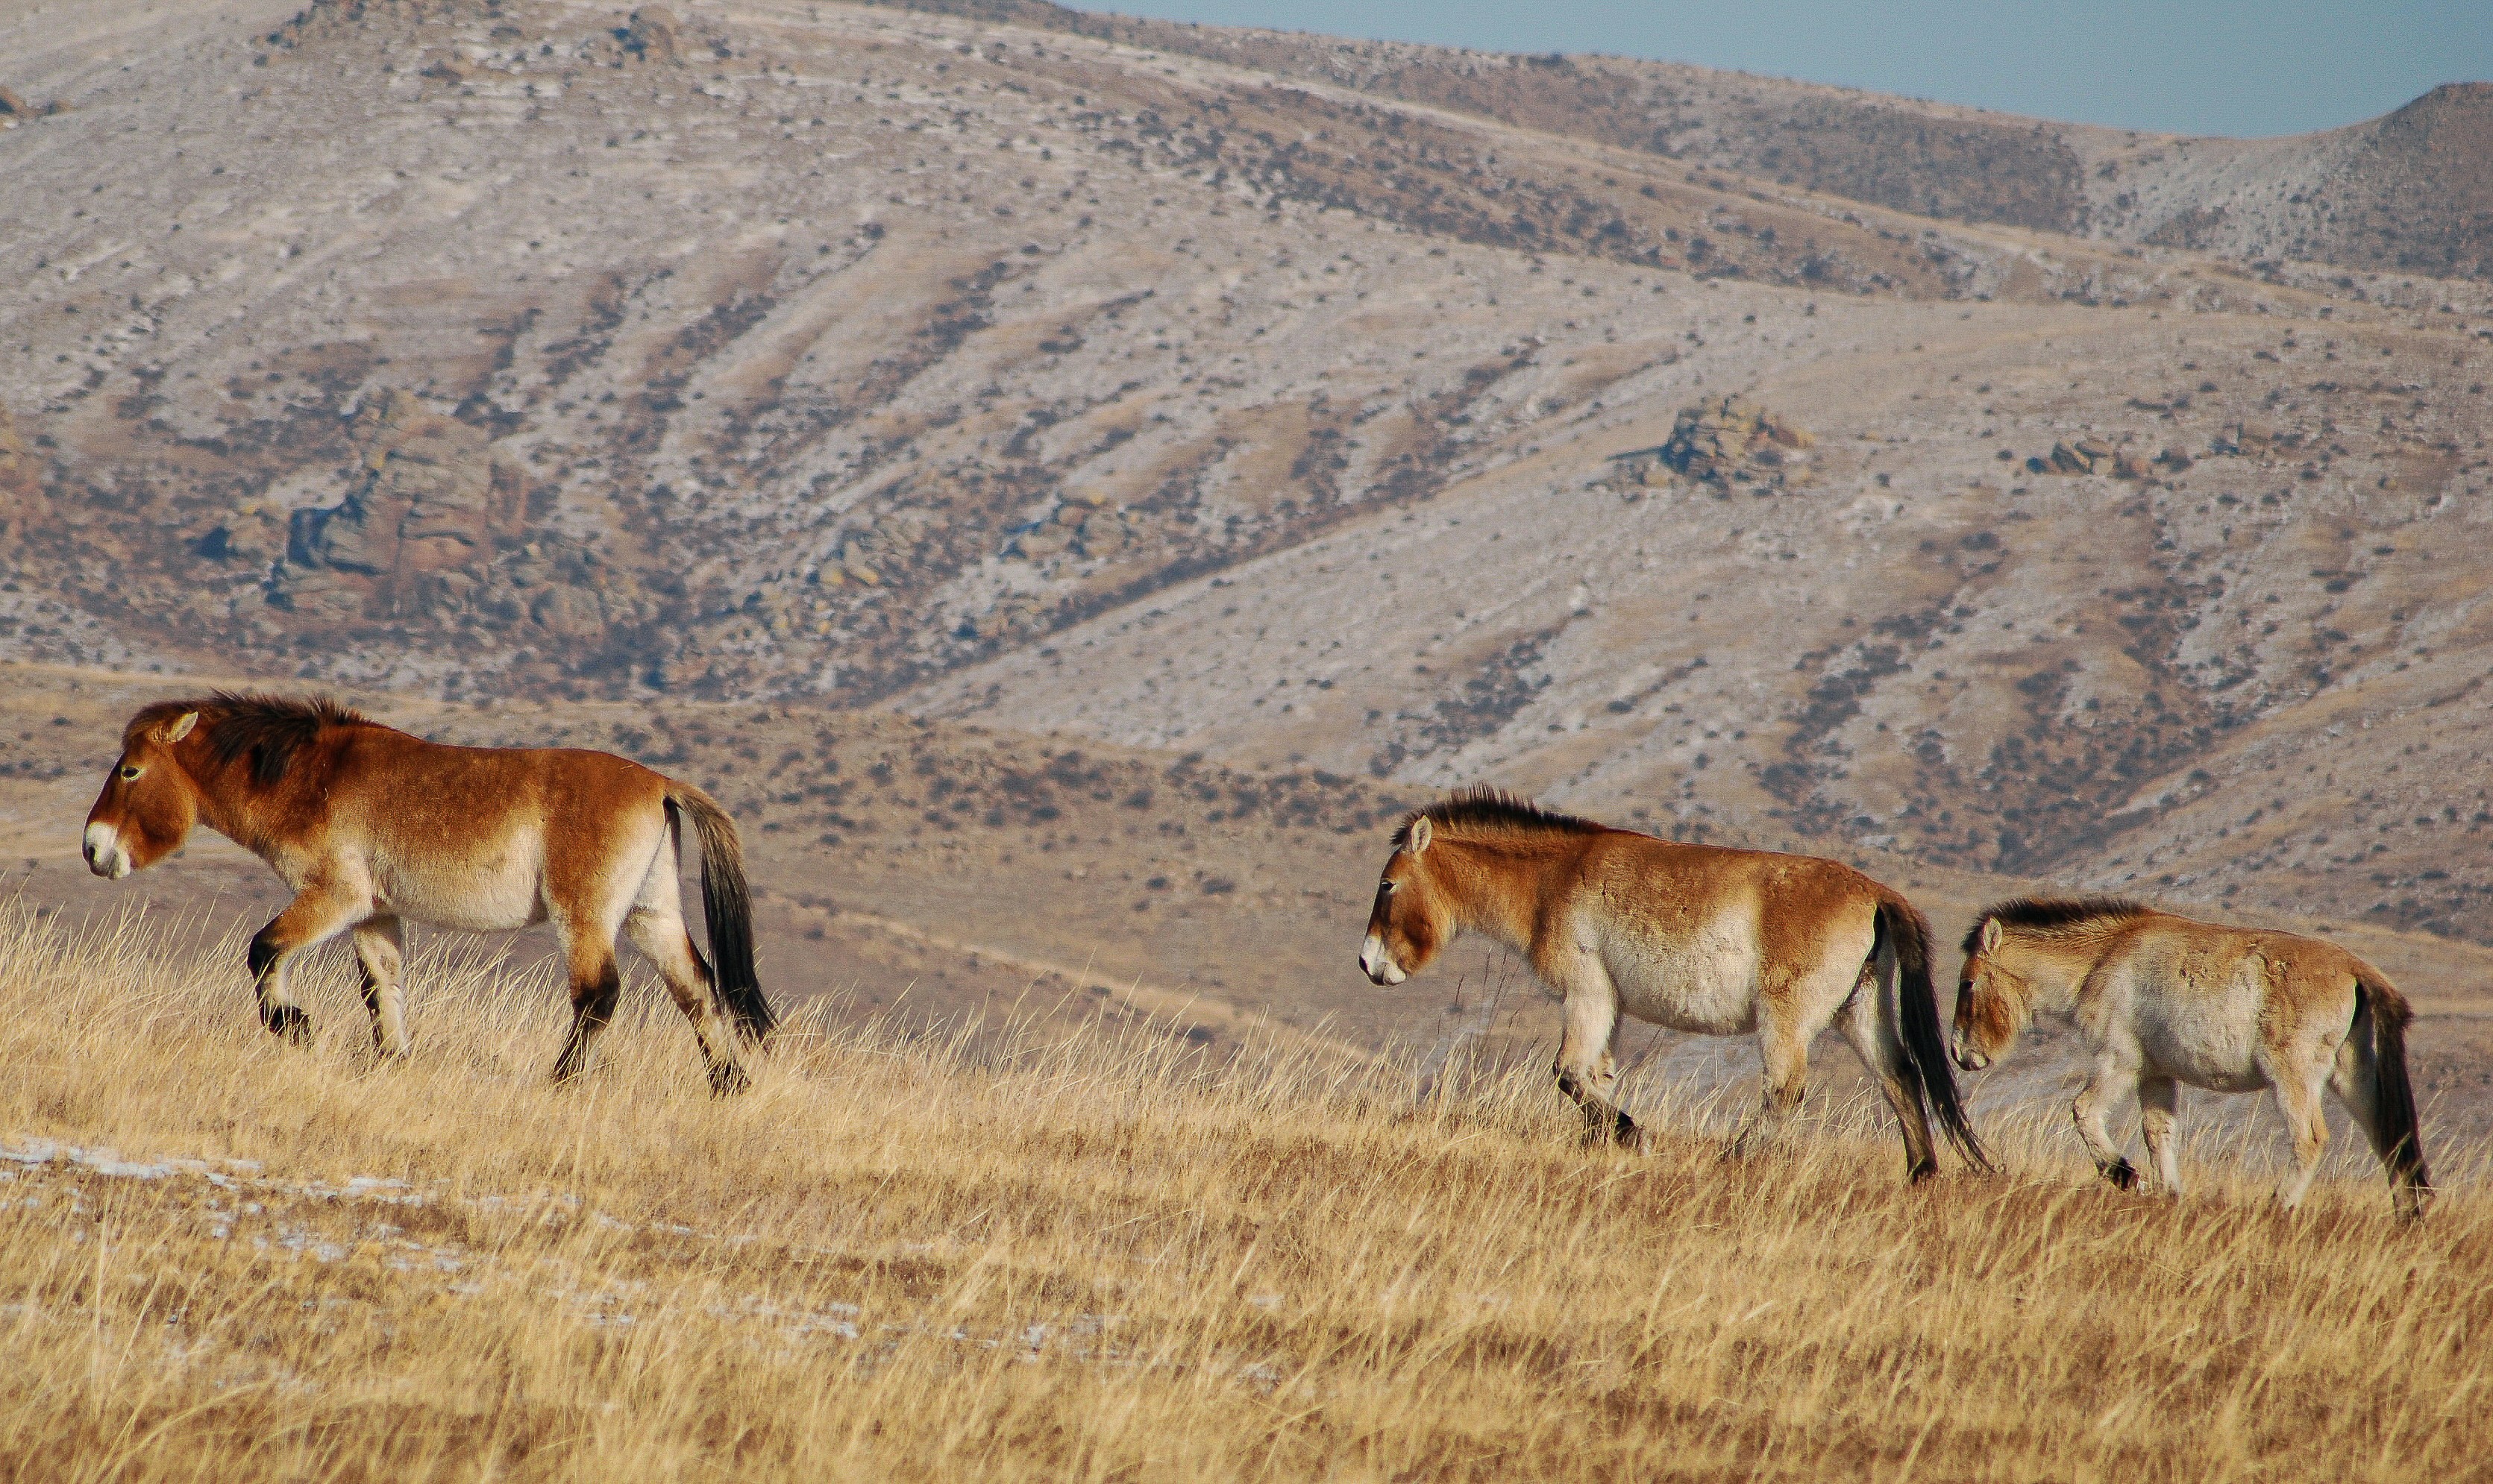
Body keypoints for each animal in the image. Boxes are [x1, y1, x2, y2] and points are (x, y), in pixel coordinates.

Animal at [83, 693, 773, 1092]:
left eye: (131, 770)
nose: (94, 848)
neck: (313, 776)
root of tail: (659, 782)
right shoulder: (374, 914)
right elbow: (381, 988)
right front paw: (392, 1061)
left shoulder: (334, 896)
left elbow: (263, 950)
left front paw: (295, 1025)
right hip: (650, 914)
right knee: (696, 988)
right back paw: (730, 1085)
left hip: (585, 918)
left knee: (599, 994)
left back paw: (560, 1082)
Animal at [1366, 787, 1984, 1182]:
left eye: (1388, 884)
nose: (1368, 963)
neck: (1553, 878)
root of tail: (1878, 894)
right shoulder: (1608, 1006)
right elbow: (1595, 1077)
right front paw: (1605, 1144)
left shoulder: (1587, 995)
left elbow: (1568, 1073)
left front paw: (1632, 1135)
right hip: (1859, 1012)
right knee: (1900, 1077)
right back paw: (1921, 1173)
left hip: (1786, 1022)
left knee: (1785, 1090)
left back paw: (1733, 1159)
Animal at [1954, 893, 2423, 1217]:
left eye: (1968, 983)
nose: (1961, 1052)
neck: (2105, 957)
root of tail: (2357, 972)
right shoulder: (2156, 1074)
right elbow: (2158, 1133)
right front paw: (2168, 1195)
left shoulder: (2120, 1061)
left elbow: (2084, 1111)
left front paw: (2129, 1178)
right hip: (2353, 1078)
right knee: (2390, 1140)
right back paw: (2405, 1219)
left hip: (2294, 1080)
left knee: (2310, 1140)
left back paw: (2277, 1207)